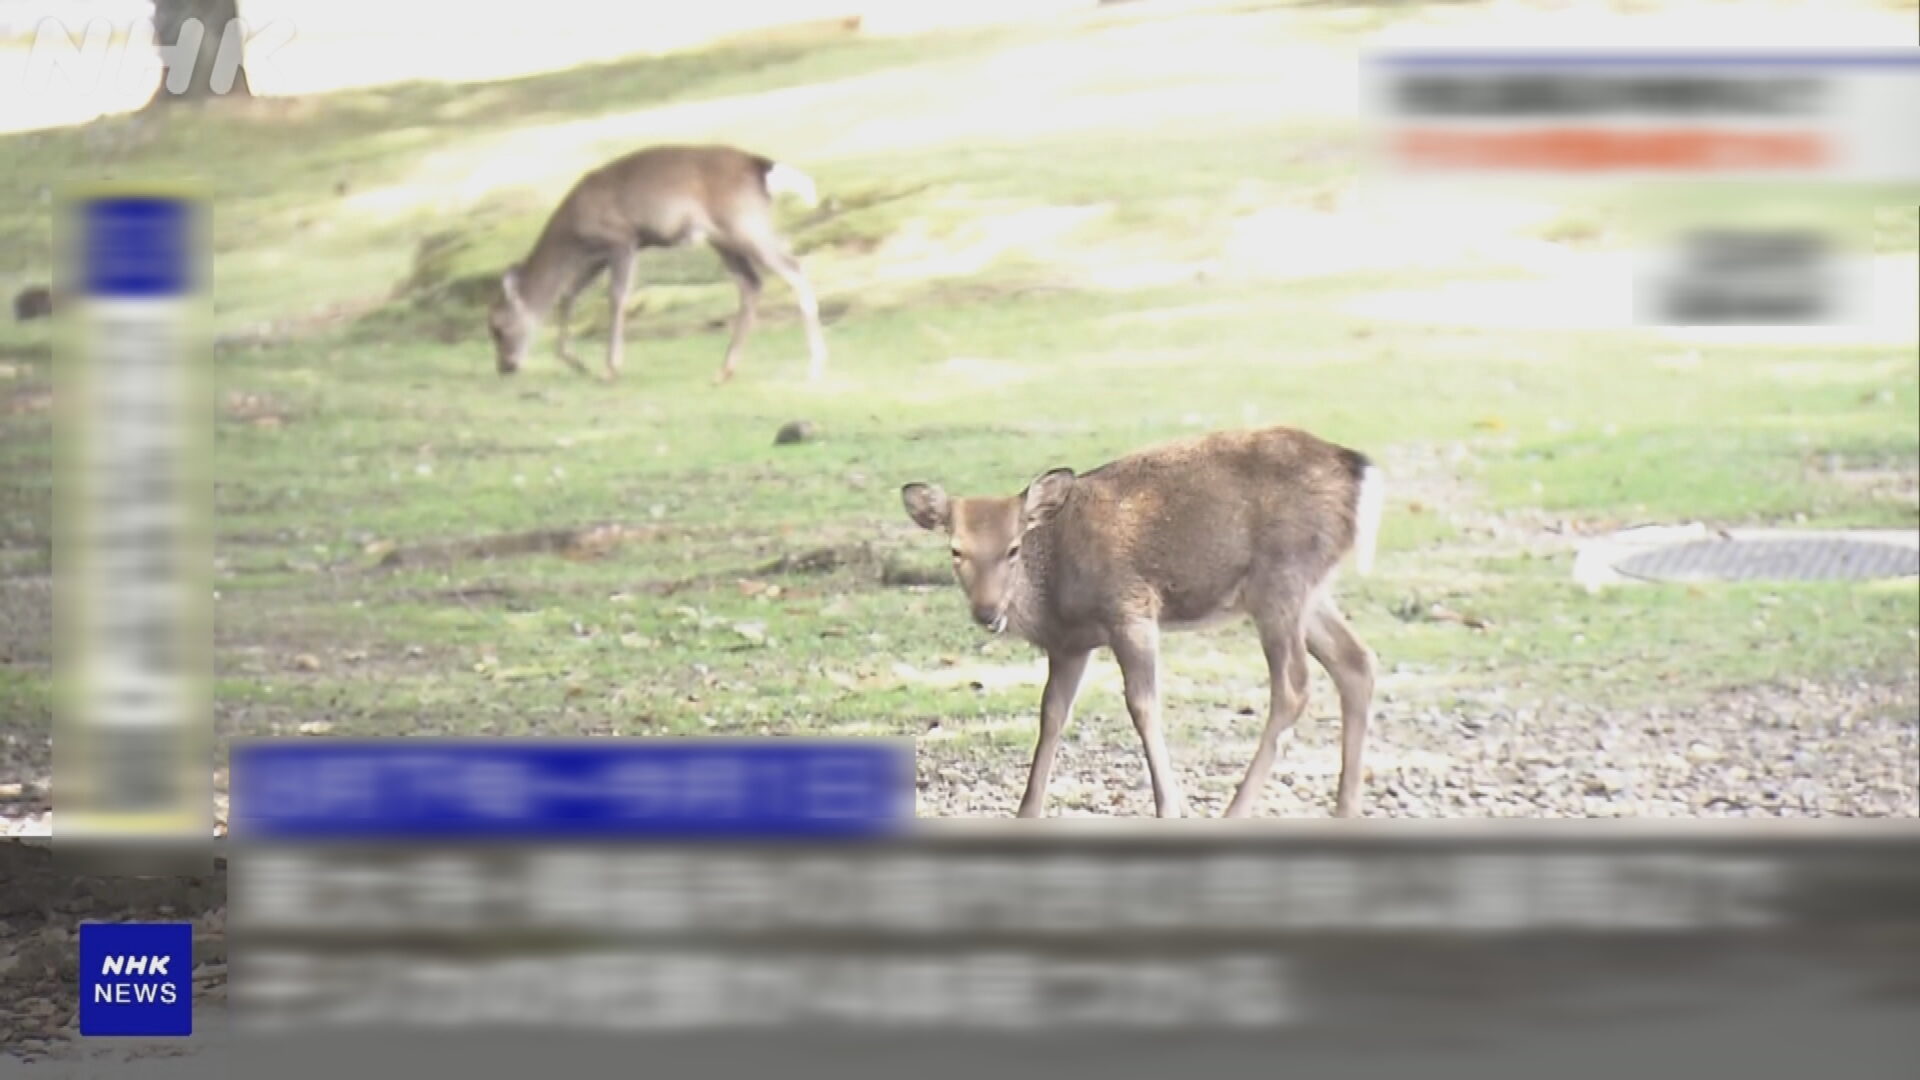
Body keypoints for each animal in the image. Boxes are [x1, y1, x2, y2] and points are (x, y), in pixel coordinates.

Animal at [486, 144, 829, 384]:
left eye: (499, 327)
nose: (505, 366)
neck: (573, 233)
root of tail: (758, 164)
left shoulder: (621, 238)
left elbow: (616, 297)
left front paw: (610, 368)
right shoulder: (597, 254)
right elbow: (568, 295)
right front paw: (577, 362)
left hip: (744, 223)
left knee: (794, 267)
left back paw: (814, 368)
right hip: (723, 237)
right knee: (752, 282)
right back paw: (723, 371)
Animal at [900, 425, 1384, 819]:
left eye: (1014, 548)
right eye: (956, 550)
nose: (987, 612)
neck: (1055, 593)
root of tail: (1358, 471)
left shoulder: (1130, 607)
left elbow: (1142, 704)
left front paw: (1170, 805)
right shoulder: (1070, 644)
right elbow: (1052, 713)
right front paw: (1027, 810)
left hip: (1281, 580)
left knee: (1294, 686)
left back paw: (1236, 809)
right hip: (1307, 591)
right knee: (1356, 660)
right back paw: (1346, 807)